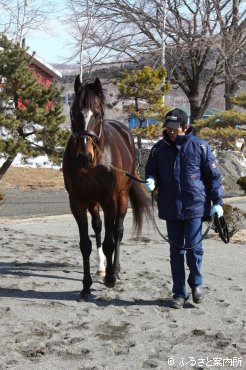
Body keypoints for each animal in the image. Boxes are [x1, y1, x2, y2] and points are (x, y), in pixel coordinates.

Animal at [62, 76, 153, 298]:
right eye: (74, 112)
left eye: (98, 114)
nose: (84, 156)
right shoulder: (77, 201)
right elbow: (85, 243)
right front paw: (86, 285)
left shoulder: (109, 200)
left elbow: (110, 241)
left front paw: (111, 278)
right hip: (93, 202)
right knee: (98, 227)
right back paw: (102, 267)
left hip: (121, 197)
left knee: (117, 231)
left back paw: (115, 269)